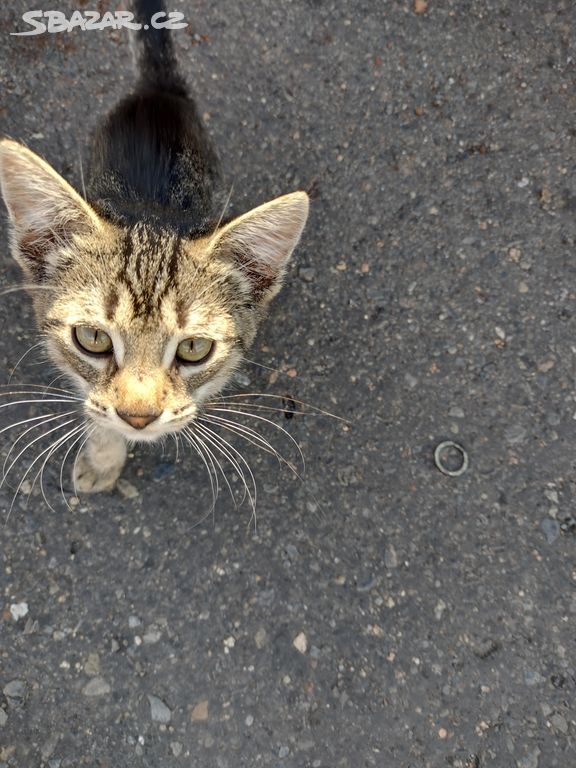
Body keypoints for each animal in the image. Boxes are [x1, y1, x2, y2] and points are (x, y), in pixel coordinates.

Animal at [0, 0, 310, 492]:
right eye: (92, 338)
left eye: (194, 348)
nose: (139, 418)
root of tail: (157, 90)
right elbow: (93, 406)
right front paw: (104, 455)